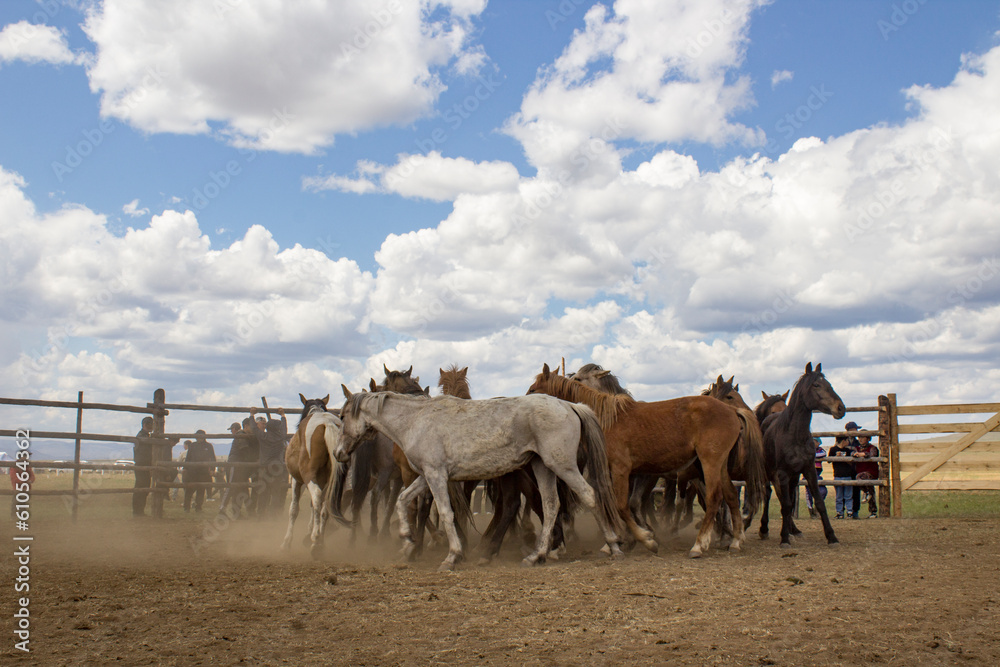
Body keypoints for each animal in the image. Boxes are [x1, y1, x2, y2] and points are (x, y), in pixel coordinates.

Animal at [281, 394, 342, 558]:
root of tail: (327, 424)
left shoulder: (296, 480)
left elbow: (294, 509)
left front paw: (287, 542)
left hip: (308, 476)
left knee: (316, 497)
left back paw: (315, 541)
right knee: (323, 506)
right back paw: (319, 541)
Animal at [336, 388, 625, 571]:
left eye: (341, 416)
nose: (339, 453)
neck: (416, 421)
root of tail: (569, 405)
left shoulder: (436, 475)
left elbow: (445, 512)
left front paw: (452, 557)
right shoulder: (427, 475)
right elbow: (402, 501)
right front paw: (407, 541)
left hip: (562, 465)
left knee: (589, 496)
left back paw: (613, 546)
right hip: (543, 467)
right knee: (551, 505)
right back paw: (537, 555)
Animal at [528, 363, 761, 558]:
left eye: (532, 390)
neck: (607, 418)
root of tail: (732, 411)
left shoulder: (622, 470)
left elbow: (622, 506)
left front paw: (644, 539)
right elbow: (621, 506)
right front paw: (624, 540)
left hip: (709, 463)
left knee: (714, 498)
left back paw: (699, 545)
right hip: (718, 466)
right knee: (730, 496)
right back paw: (735, 540)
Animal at [758, 362, 846, 547]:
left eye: (829, 384)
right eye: (816, 385)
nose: (841, 408)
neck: (795, 435)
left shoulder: (808, 470)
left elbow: (818, 502)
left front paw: (831, 536)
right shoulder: (782, 474)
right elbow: (784, 505)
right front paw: (784, 538)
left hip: (793, 477)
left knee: (787, 499)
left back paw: (793, 529)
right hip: (769, 472)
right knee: (769, 495)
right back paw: (764, 529)